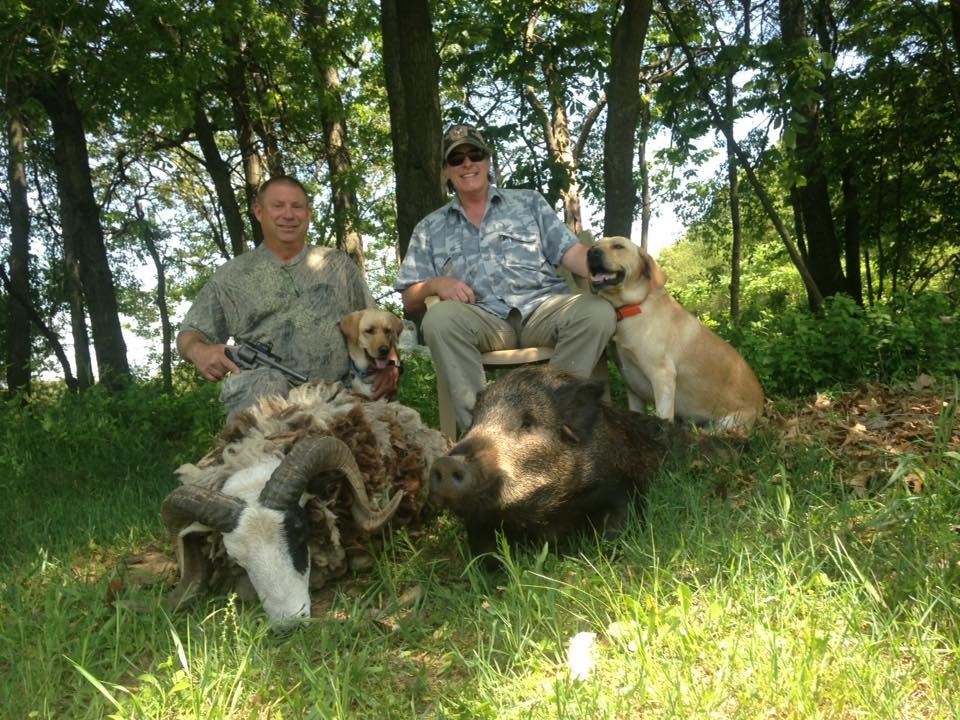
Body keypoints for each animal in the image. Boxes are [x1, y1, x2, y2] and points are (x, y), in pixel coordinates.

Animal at [428, 365, 688, 557]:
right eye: (475, 420)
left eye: (528, 423)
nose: (447, 463)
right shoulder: (478, 522)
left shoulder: (621, 489)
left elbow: (615, 530)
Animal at [587, 237, 764, 431]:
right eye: (595, 245)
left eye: (618, 246)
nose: (591, 252)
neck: (633, 307)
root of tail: (761, 405)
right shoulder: (632, 386)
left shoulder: (663, 376)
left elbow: (663, 418)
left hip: (725, 423)